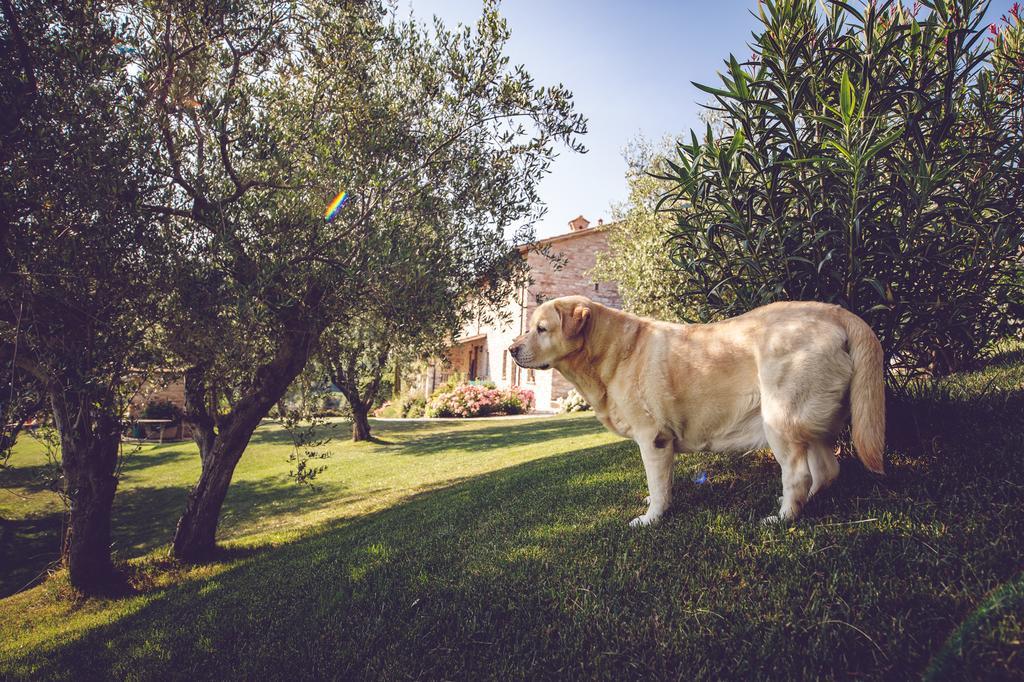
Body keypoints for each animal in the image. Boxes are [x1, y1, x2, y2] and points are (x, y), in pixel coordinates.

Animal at [507, 294, 884, 522]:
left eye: (541, 329)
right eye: (530, 328)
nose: (511, 349)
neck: (612, 351)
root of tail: (835, 312)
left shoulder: (653, 439)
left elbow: (657, 486)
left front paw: (650, 519)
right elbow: (663, 485)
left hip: (779, 419)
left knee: (799, 475)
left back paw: (783, 517)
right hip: (811, 423)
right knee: (827, 471)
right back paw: (808, 503)